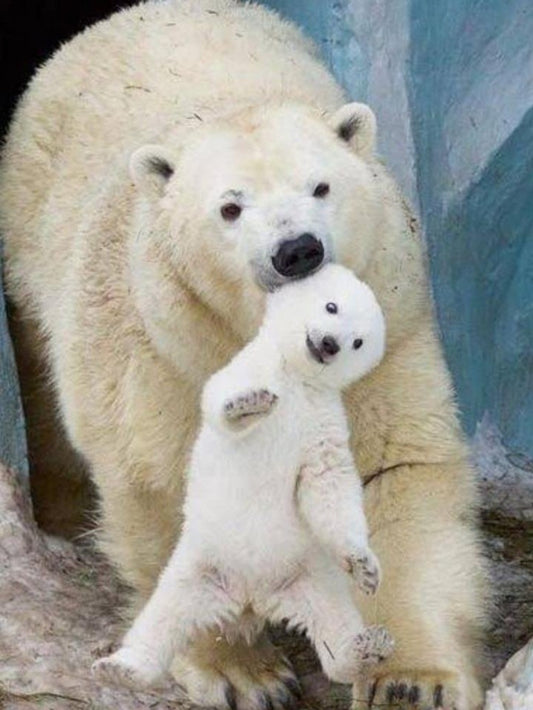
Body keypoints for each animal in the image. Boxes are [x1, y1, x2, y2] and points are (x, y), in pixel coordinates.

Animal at [92, 264, 394, 690]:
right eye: (331, 306)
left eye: (358, 342)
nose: (329, 343)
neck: (297, 379)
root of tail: (251, 598)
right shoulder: (247, 367)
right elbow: (220, 401)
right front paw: (249, 404)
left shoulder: (322, 420)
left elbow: (328, 483)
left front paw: (365, 567)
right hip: (199, 568)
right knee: (161, 618)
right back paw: (122, 668)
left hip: (307, 578)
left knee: (334, 624)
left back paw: (367, 648)